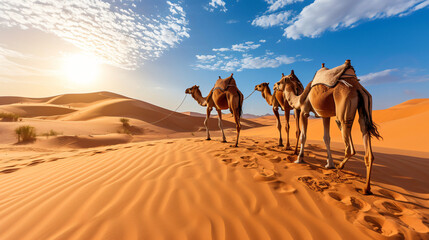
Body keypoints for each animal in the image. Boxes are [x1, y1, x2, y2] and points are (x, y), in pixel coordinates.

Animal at [274, 60, 382, 195]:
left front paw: (299, 158)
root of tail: (357, 87)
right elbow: (326, 138)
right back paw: (366, 189)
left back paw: (340, 167)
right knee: (366, 141)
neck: (299, 99)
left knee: (349, 146)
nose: (274, 85)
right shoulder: (325, 116)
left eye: (280, 81)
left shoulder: (304, 111)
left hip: (343, 112)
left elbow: (304, 136)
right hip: (365, 108)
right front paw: (329, 164)